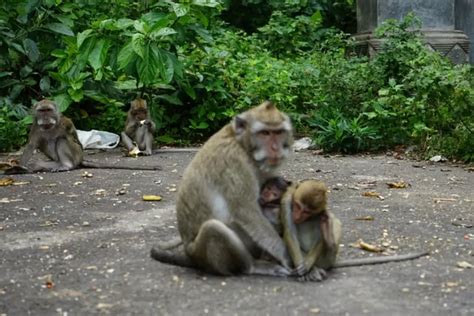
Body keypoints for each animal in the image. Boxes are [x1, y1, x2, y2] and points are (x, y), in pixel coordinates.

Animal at [152, 101, 294, 276]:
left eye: (279, 132)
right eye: (265, 133)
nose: (275, 148)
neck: (242, 145)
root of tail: (190, 253)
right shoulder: (235, 163)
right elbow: (247, 211)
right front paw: (287, 256)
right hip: (202, 253)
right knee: (214, 228)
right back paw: (254, 266)